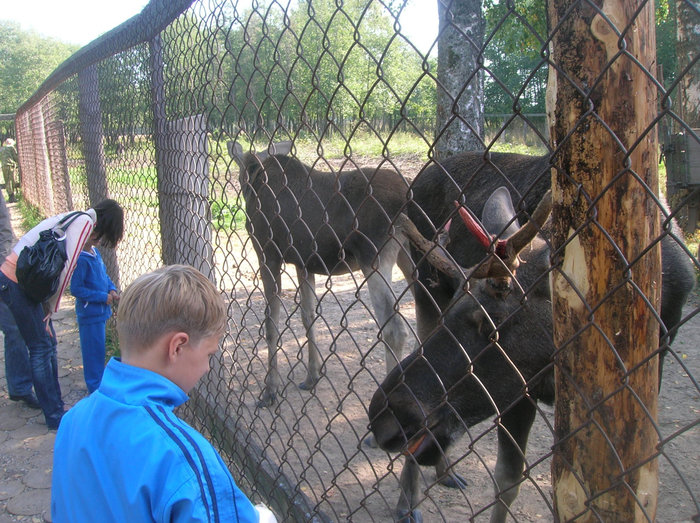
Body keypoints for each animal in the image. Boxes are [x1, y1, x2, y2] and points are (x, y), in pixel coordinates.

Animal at [230, 141, 416, 408]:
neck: (255, 176)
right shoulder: (304, 264)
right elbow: (309, 316)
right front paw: (312, 376)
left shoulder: (268, 253)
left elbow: (271, 323)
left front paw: (269, 391)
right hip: (409, 255)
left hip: (375, 257)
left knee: (394, 330)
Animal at [366, 152, 696, 523]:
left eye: (491, 327)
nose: (385, 415)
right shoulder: (520, 389)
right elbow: (508, 480)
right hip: (424, 292)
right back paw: (408, 501)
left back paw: (444, 472)